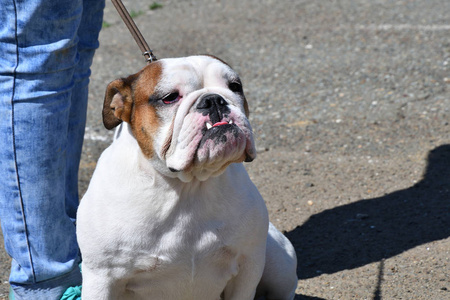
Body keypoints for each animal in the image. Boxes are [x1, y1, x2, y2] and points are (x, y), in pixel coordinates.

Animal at [77, 55, 298, 298]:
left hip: (280, 263)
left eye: (235, 87)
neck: (189, 186)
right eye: (170, 98)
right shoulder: (102, 277)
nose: (214, 100)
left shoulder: (248, 266)